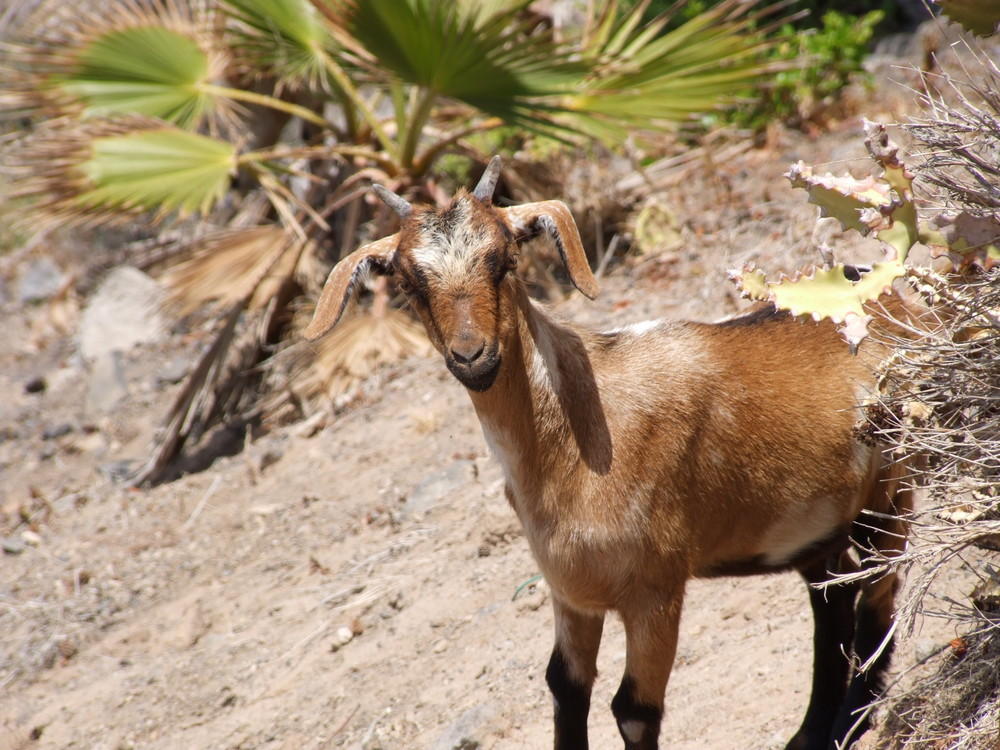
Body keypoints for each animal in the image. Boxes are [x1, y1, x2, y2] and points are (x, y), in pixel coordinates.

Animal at [306, 162, 916, 750]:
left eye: (504, 260)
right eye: (408, 282)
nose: (472, 356)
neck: (572, 444)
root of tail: (897, 300)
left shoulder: (655, 590)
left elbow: (634, 711)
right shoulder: (571, 593)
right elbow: (565, 685)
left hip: (893, 492)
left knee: (876, 600)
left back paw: (848, 723)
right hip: (815, 528)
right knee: (834, 607)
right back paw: (811, 734)